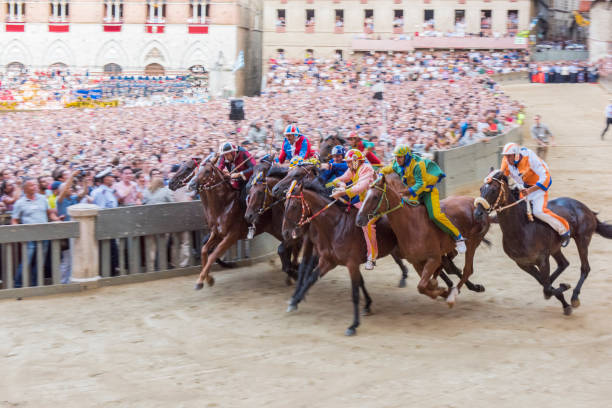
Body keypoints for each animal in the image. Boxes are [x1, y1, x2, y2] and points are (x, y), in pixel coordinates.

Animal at [356, 172, 490, 306]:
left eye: (375, 197)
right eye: (365, 194)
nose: (359, 219)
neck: (412, 225)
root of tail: (476, 203)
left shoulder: (433, 258)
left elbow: (422, 286)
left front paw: (443, 290)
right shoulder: (416, 261)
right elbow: (425, 285)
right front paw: (440, 289)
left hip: (472, 243)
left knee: (468, 270)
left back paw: (455, 294)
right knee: (454, 262)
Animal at [476, 169, 612, 316]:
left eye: (494, 189)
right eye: (481, 188)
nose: (478, 213)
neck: (521, 228)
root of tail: (587, 210)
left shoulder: (542, 259)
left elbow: (547, 288)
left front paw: (564, 287)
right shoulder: (523, 263)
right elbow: (545, 285)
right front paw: (564, 301)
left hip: (582, 239)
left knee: (585, 268)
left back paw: (575, 297)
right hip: (556, 247)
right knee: (563, 264)